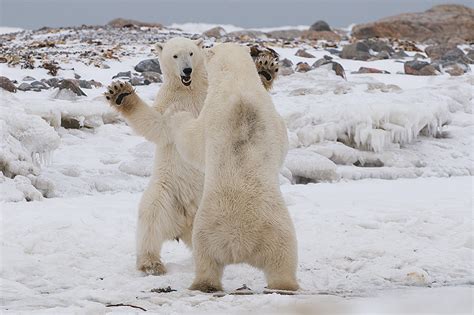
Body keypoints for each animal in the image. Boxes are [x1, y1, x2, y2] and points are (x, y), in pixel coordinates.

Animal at [105, 36, 280, 276]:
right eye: (175, 55)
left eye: (191, 53)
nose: (187, 71)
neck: (189, 90)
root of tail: (185, 221)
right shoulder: (169, 103)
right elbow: (155, 123)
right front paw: (120, 92)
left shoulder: (211, 94)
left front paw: (265, 69)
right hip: (166, 191)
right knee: (150, 217)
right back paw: (151, 263)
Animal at [168, 43, 298, 292]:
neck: (237, 80)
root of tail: (239, 243)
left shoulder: (211, 114)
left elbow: (192, 142)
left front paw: (176, 114)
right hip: (215, 231)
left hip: (228, 229)